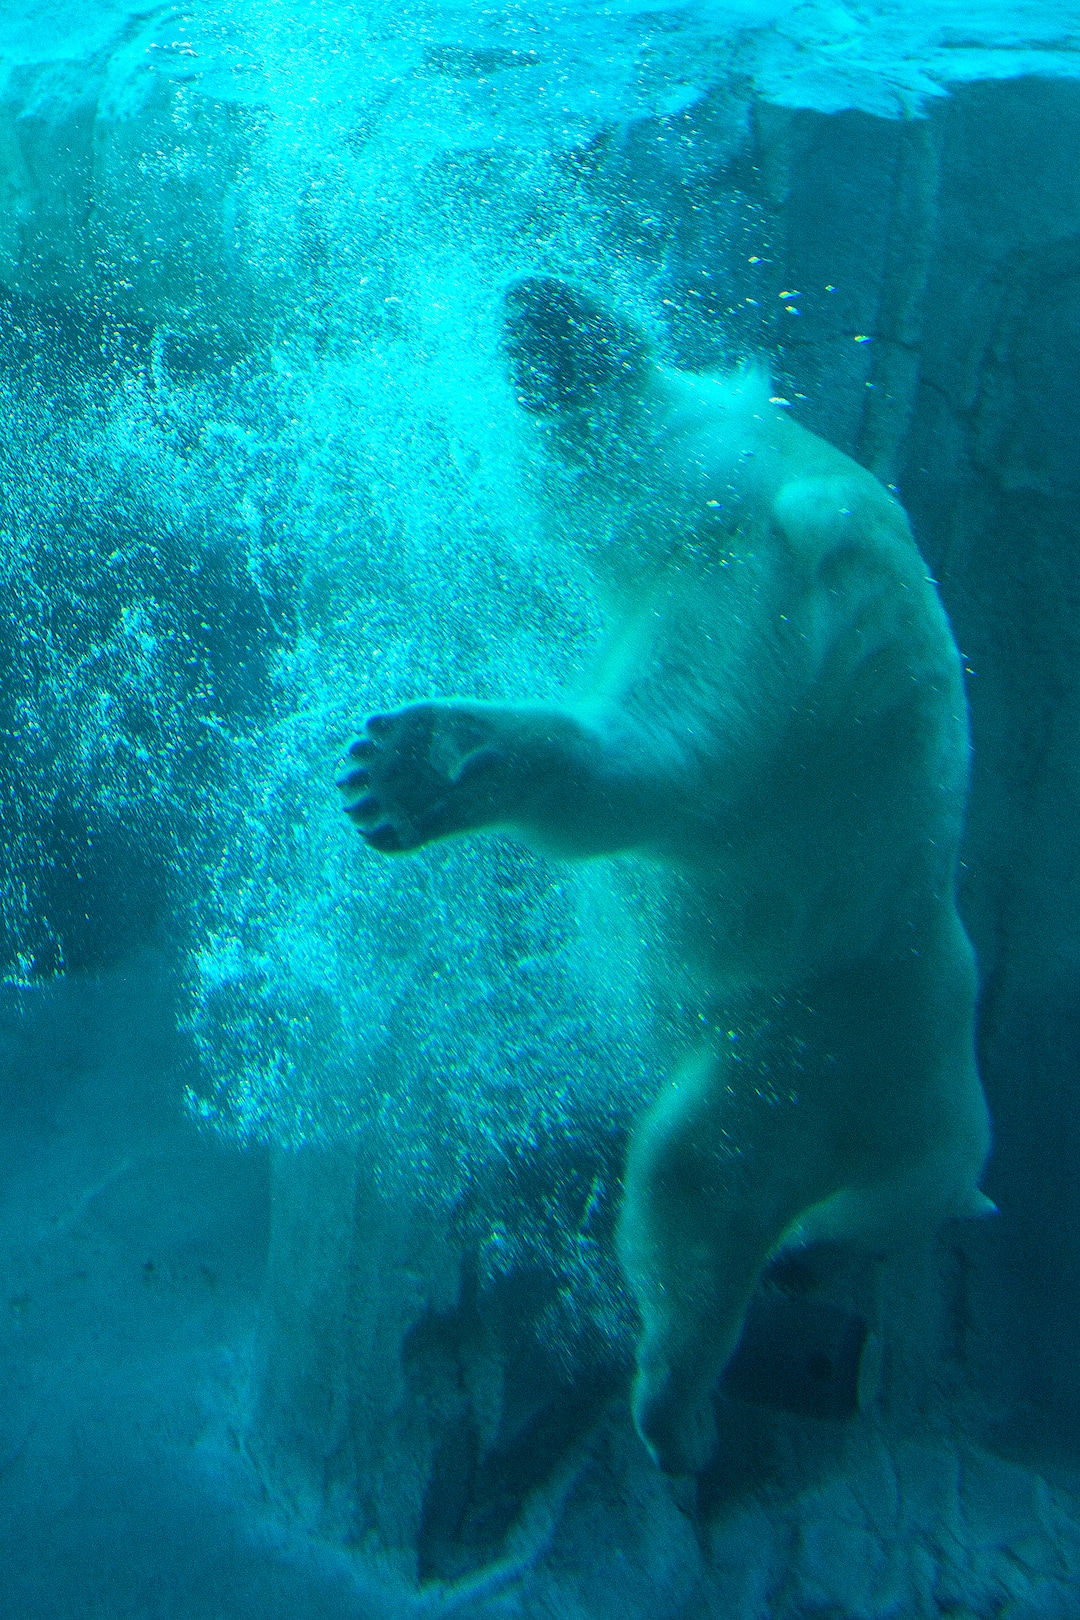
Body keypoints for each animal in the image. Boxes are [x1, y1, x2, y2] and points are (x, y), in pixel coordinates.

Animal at [336, 276, 993, 1475]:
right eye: (864, 1252)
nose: (813, 1267)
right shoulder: (815, 1068)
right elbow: (709, 1199)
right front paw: (683, 1408)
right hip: (793, 647)